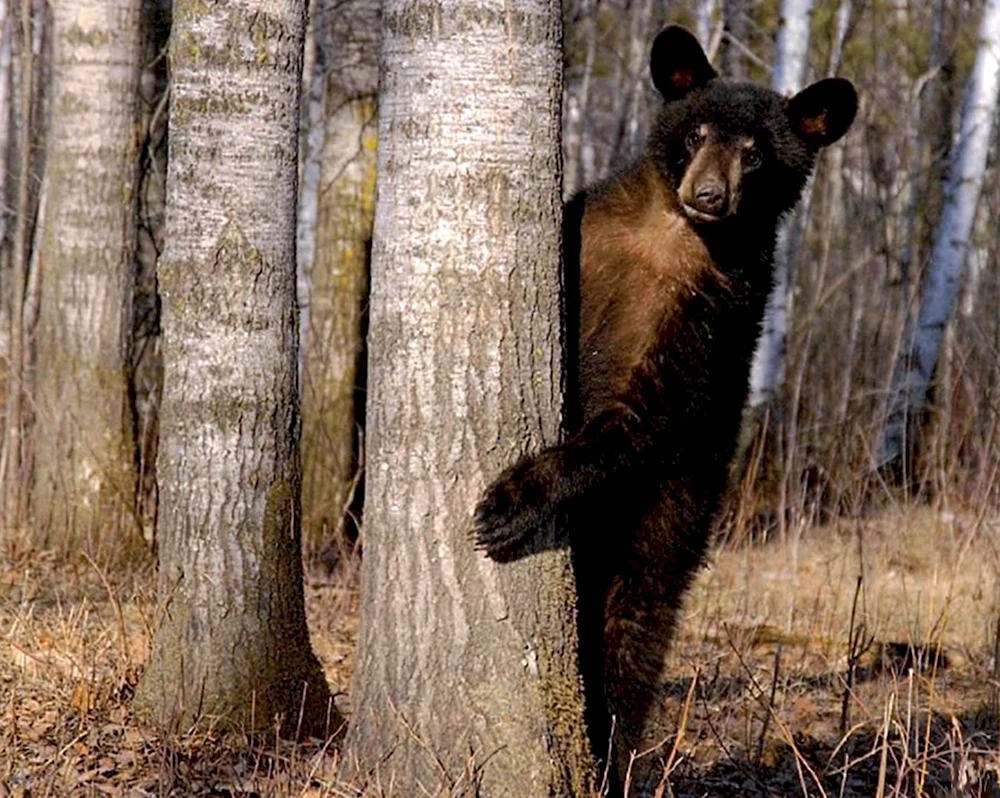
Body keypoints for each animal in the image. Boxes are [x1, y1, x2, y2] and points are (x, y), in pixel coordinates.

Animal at [472, 21, 856, 796]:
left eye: (756, 152)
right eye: (696, 131)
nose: (708, 193)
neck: (671, 236)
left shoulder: (711, 315)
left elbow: (641, 415)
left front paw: (509, 503)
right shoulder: (589, 233)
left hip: (669, 518)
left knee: (633, 634)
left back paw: (611, 757)